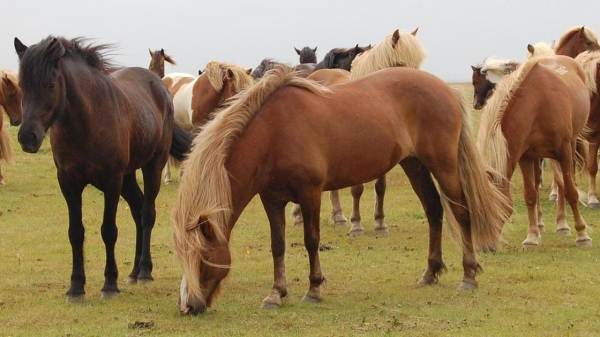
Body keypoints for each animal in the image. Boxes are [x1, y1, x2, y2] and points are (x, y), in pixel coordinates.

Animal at [14, 36, 191, 302]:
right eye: (21, 85)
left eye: (51, 84)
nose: (27, 137)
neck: (87, 122)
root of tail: (159, 86)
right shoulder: (69, 184)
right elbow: (75, 232)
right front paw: (76, 287)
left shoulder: (111, 182)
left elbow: (108, 230)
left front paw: (109, 284)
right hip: (128, 177)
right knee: (137, 210)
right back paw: (133, 271)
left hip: (153, 166)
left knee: (147, 213)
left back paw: (144, 272)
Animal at [171, 66, 508, 316]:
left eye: (203, 255)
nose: (189, 307)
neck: (273, 133)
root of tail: (445, 88)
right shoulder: (272, 200)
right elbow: (278, 245)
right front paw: (276, 294)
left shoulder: (310, 193)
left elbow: (311, 241)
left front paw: (314, 289)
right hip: (414, 165)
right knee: (434, 210)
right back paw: (430, 272)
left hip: (443, 165)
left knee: (461, 212)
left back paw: (468, 276)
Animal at [476, 54, 592, 247]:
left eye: (492, 208)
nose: (484, 247)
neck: (538, 105)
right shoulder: (525, 157)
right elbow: (530, 195)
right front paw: (531, 237)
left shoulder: (564, 152)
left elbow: (571, 192)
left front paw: (582, 235)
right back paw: (541, 224)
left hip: (569, 146)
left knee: (562, 184)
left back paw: (563, 225)